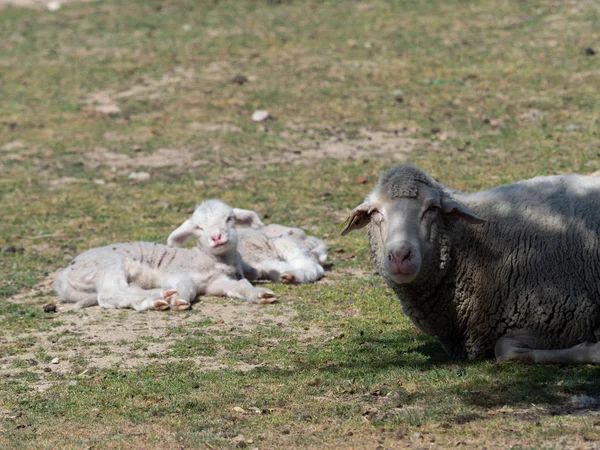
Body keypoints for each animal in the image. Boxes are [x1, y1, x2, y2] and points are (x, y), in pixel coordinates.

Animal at [55, 199, 276, 312]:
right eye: (198, 227)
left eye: (230, 218)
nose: (216, 237)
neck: (210, 260)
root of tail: (64, 276)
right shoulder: (178, 274)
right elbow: (187, 288)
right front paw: (179, 300)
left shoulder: (218, 283)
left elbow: (241, 286)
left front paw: (261, 295)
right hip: (107, 266)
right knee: (110, 294)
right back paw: (157, 299)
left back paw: (160, 296)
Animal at [340, 163, 600, 364]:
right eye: (375, 213)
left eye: (432, 208)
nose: (400, 256)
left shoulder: (567, 315)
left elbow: (505, 349)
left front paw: (591, 350)